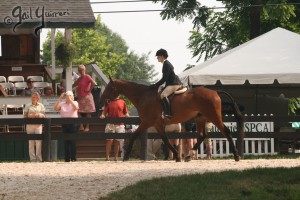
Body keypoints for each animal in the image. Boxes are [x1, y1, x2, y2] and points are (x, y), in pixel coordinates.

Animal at [101, 77, 244, 162]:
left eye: (109, 88)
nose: (102, 99)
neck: (143, 96)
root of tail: (215, 92)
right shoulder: (157, 125)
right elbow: (165, 140)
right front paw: (177, 156)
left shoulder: (147, 122)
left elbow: (134, 136)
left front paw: (125, 156)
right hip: (200, 119)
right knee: (202, 135)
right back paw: (188, 156)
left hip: (214, 116)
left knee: (226, 131)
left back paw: (236, 156)